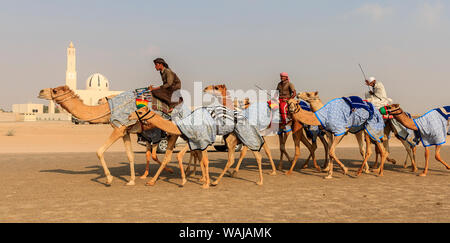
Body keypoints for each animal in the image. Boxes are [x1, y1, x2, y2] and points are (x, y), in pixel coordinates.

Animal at [37, 85, 174, 186]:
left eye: (55, 90)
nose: (40, 91)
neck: (106, 110)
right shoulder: (125, 131)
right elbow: (130, 155)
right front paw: (131, 181)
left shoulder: (119, 128)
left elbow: (99, 151)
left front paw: (109, 179)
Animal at [128, 105, 266, 187]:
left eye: (140, 111)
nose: (129, 116)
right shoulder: (195, 141)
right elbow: (200, 159)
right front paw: (151, 181)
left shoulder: (199, 139)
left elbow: (200, 159)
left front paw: (197, 182)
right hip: (231, 137)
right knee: (232, 158)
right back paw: (216, 181)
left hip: (243, 133)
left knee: (256, 152)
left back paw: (260, 181)